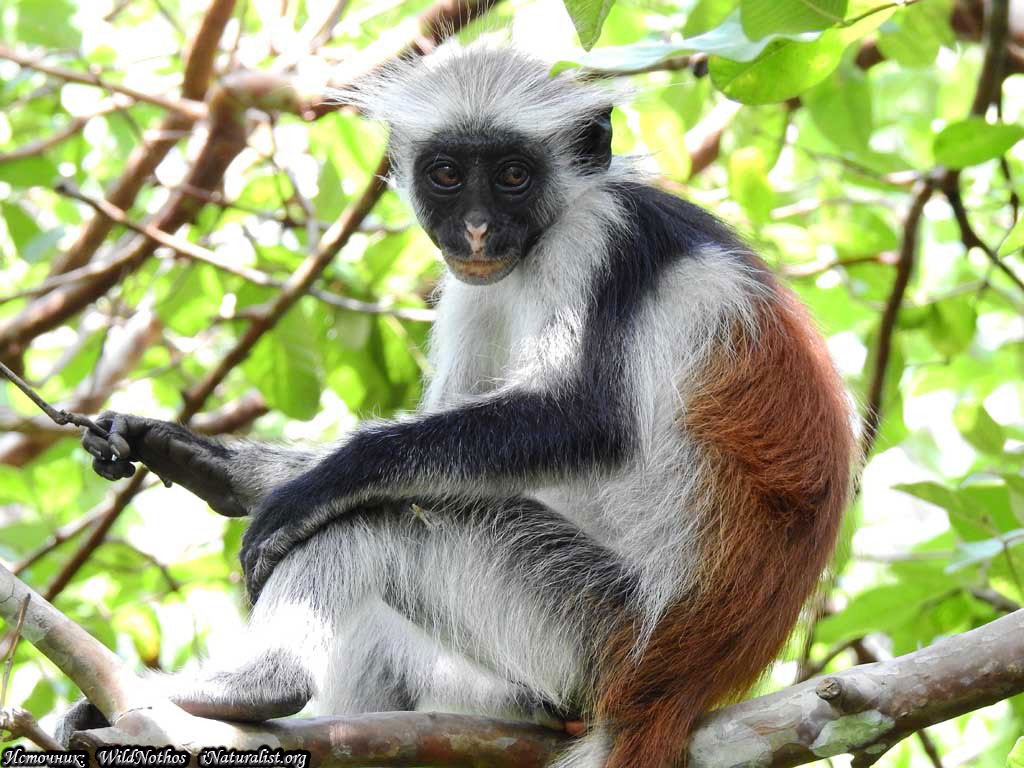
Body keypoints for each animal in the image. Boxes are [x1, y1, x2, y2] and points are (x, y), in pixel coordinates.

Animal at [60, 44, 854, 768]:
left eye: (512, 176)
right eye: (446, 175)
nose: (474, 228)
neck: (545, 234)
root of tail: (677, 679)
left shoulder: (602, 234)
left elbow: (581, 420)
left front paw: (313, 484)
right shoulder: (482, 279)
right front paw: (200, 458)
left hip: (588, 626)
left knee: (380, 523)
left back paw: (256, 685)